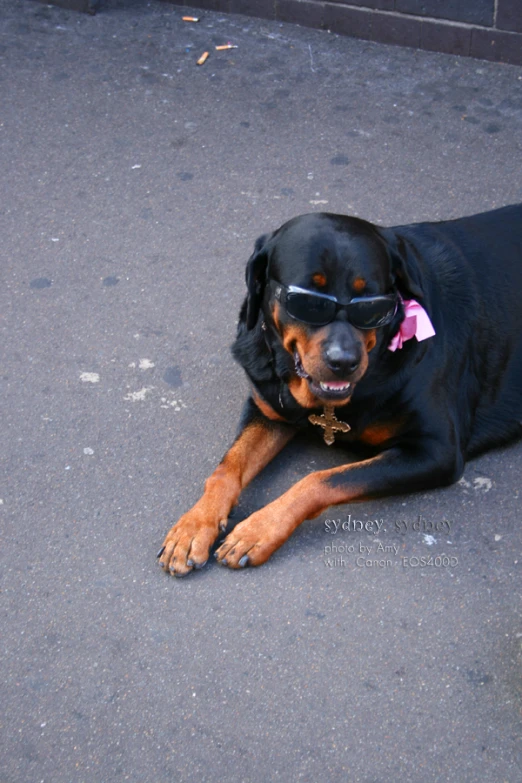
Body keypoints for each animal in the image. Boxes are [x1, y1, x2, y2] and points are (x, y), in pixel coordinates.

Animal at [157, 205, 520, 576]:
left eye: (371, 304)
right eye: (308, 301)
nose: (343, 361)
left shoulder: (436, 451)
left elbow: (322, 479)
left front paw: (257, 530)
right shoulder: (268, 408)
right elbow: (227, 467)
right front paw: (194, 526)